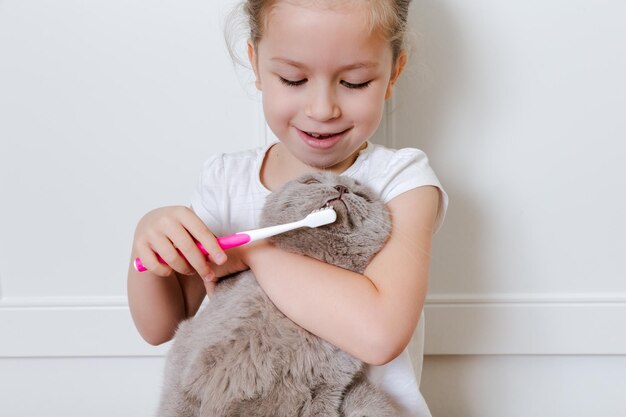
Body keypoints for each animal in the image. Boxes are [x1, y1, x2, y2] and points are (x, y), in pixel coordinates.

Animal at [158, 171, 398, 416]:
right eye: (311, 182)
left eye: (362, 195)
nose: (342, 188)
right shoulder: (189, 358)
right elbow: (180, 402)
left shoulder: (327, 389)